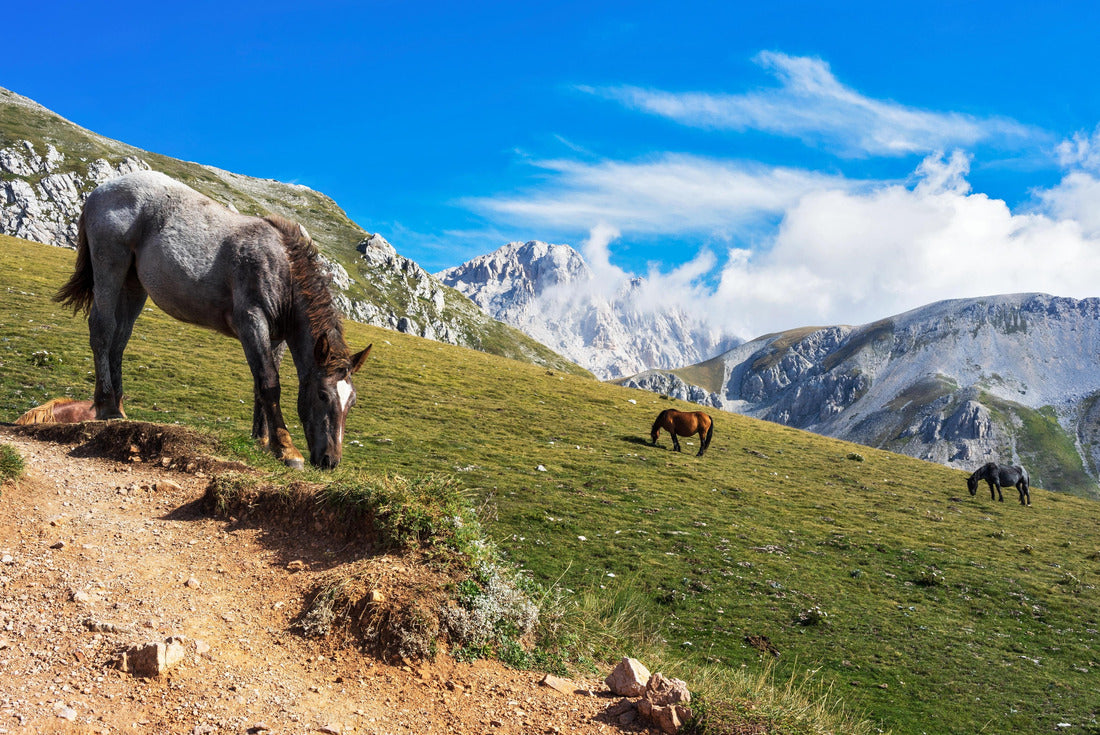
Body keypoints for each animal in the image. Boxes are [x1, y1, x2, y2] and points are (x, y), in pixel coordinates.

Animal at [54, 171, 371, 470]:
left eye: (352, 402)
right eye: (322, 395)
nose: (330, 461)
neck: (283, 268)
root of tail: (100, 191)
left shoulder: (276, 337)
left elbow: (260, 382)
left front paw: (261, 440)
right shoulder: (251, 321)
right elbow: (269, 382)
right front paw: (286, 449)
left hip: (133, 284)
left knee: (120, 340)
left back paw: (118, 408)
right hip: (110, 267)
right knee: (103, 329)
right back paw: (105, 406)